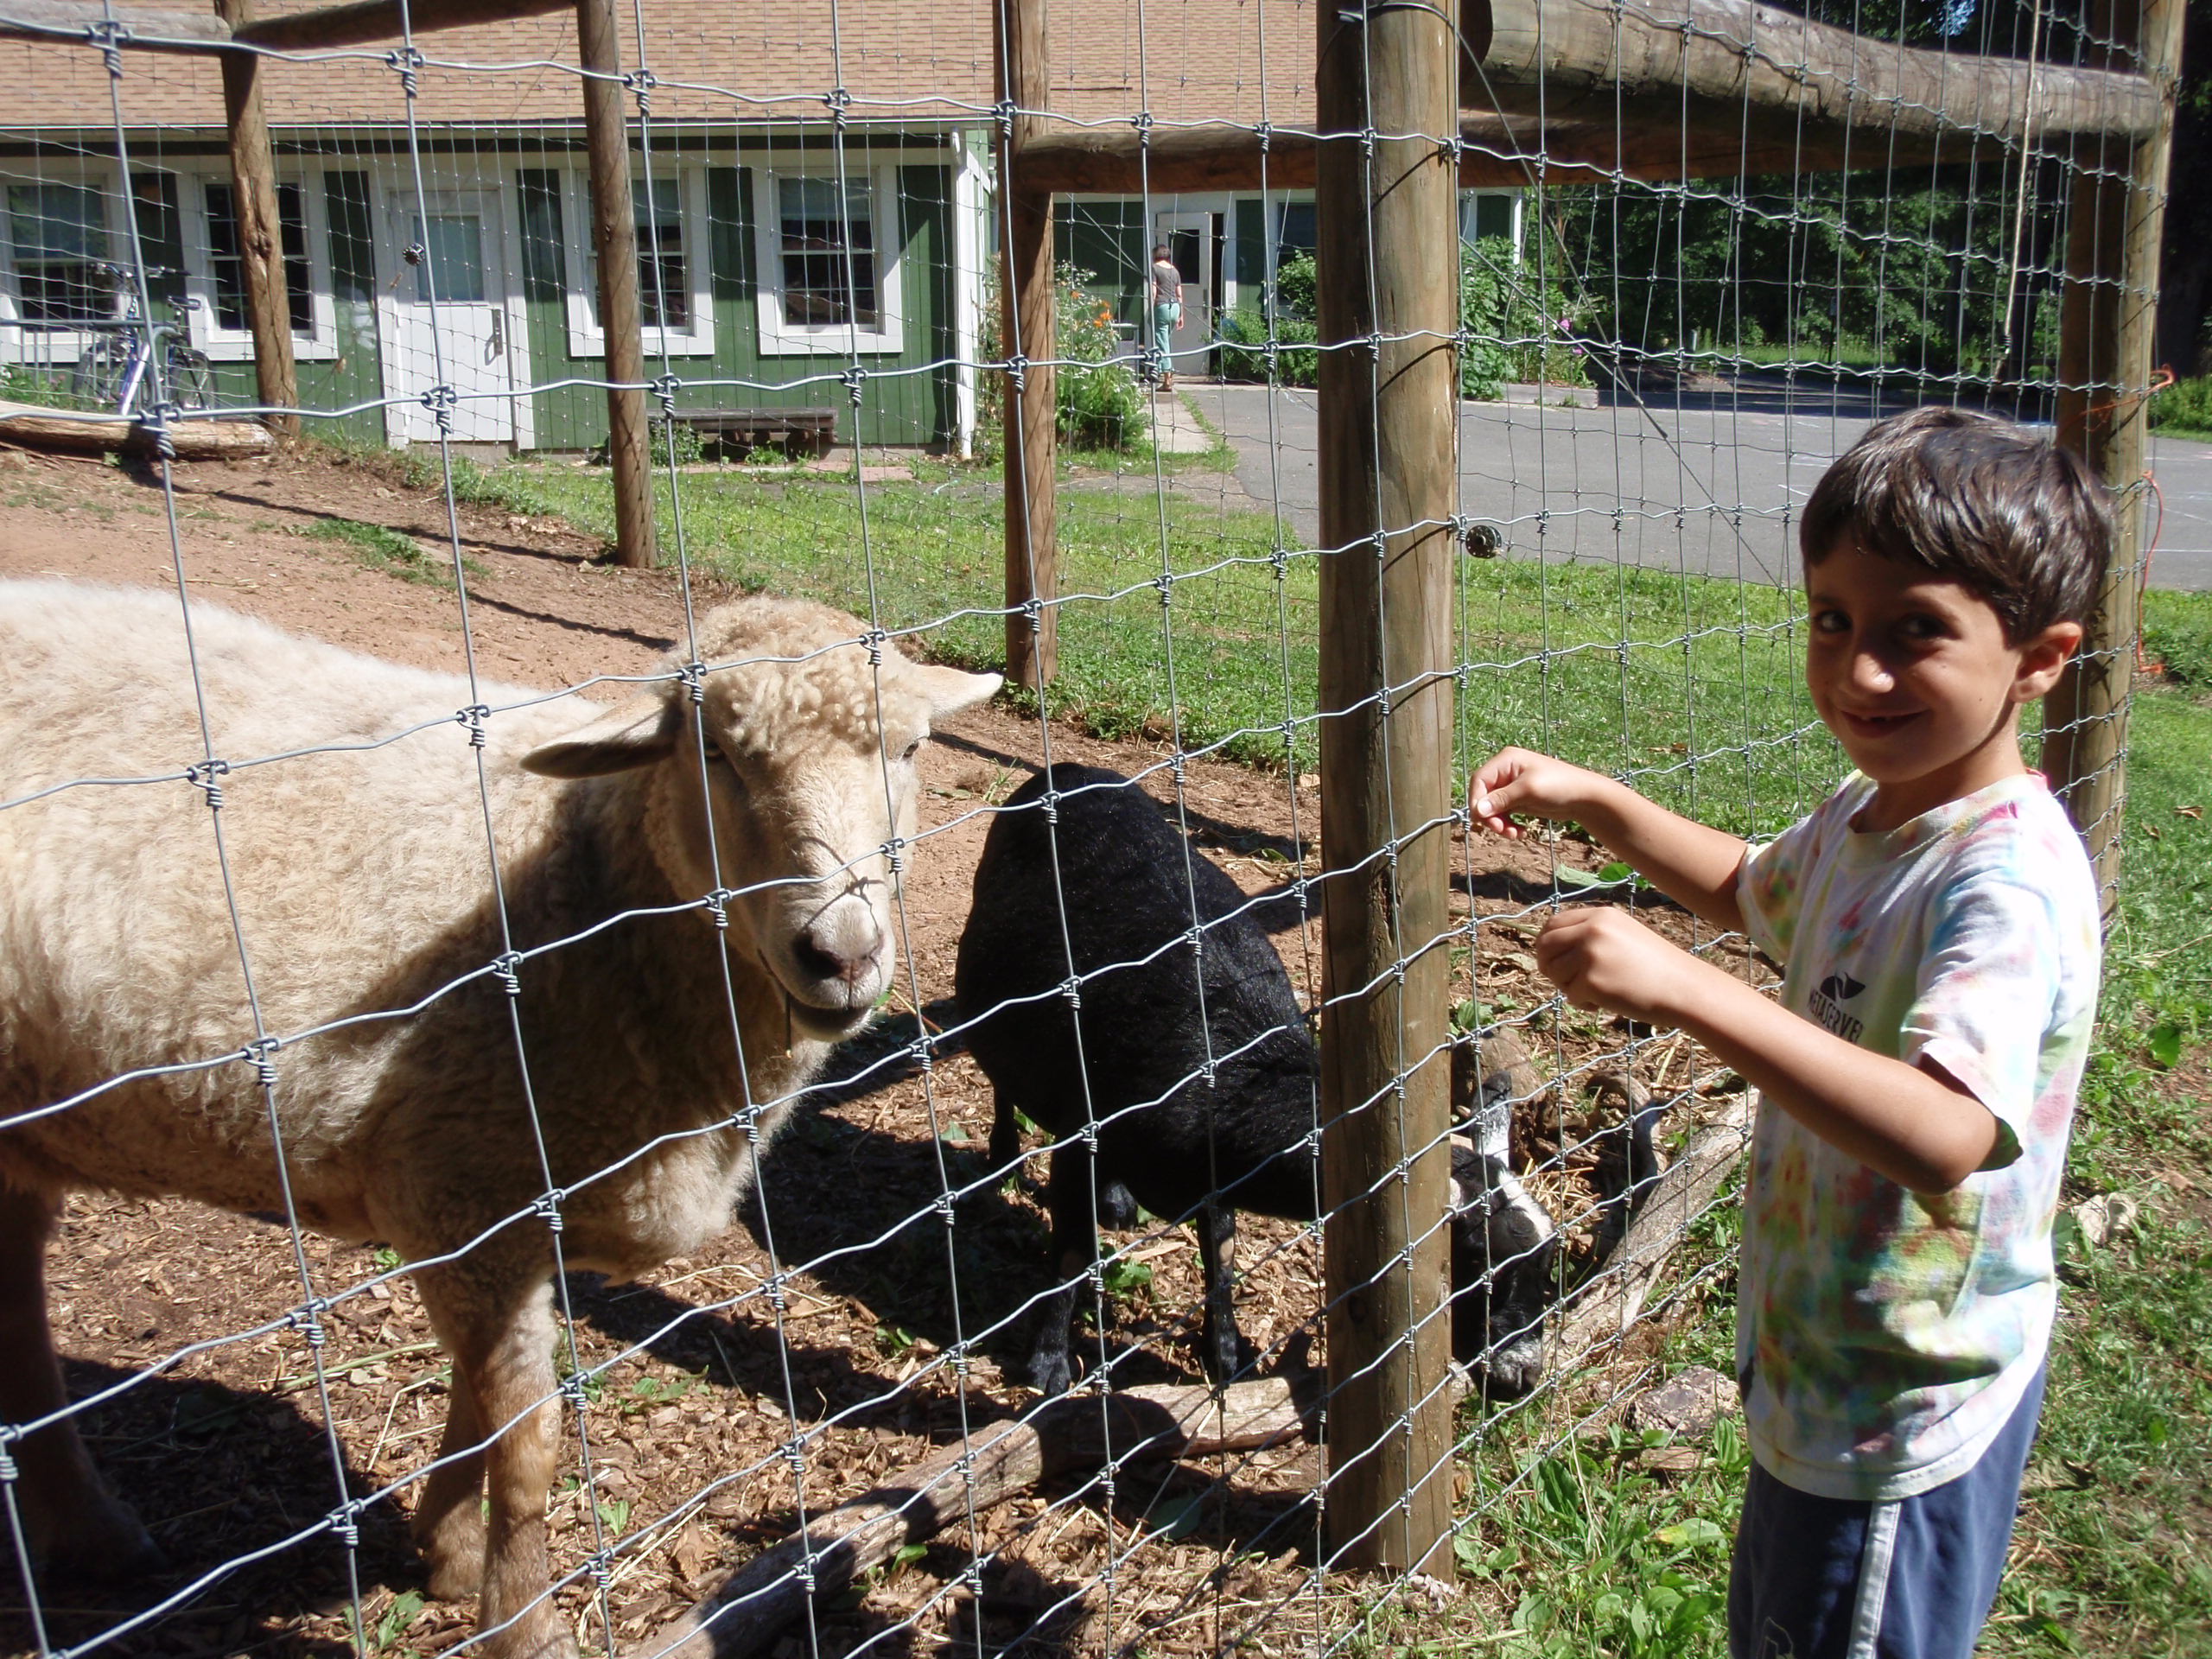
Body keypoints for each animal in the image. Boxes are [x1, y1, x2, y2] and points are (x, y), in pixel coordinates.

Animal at [0, 579, 995, 1659]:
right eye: (715, 752)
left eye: (909, 749)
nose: (841, 954)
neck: (584, 883)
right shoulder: (468, 1192)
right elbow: (527, 1443)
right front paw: (519, 1620)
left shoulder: (506, 1216)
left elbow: (475, 1408)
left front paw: (445, 1552)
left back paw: (88, 1531)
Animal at [950, 765, 1557, 1407]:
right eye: (1478, 1259)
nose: (1522, 1377)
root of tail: (1065, 772)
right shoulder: (1081, 1134)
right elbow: (1072, 1253)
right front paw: (1048, 1365)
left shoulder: (1211, 1176)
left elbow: (1221, 1254)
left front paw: (1227, 1353)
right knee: (1002, 1079)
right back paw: (1004, 1157)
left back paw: (1117, 1202)